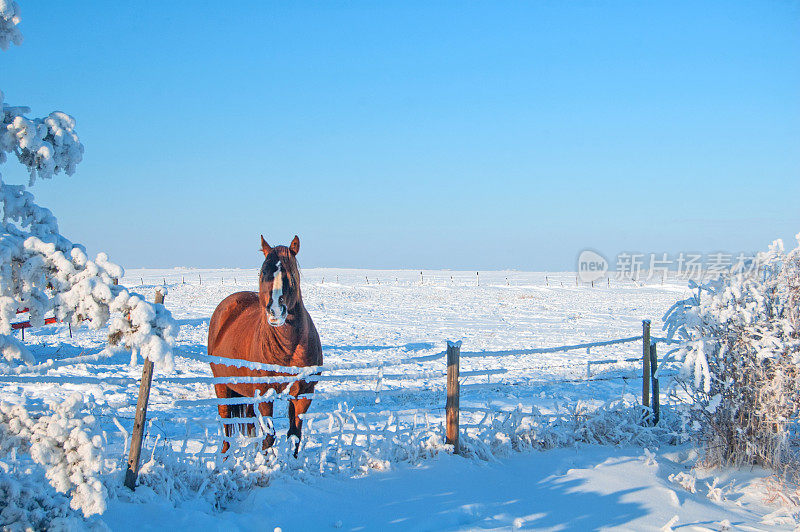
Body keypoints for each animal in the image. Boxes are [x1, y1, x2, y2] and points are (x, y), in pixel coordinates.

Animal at [208, 235, 324, 456]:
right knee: (226, 425)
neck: (288, 350)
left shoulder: (303, 395)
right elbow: (269, 438)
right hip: (222, 385)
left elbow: (294, 436)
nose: (275, 311)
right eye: (263, 272)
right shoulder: (264, 395)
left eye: (291, 274)